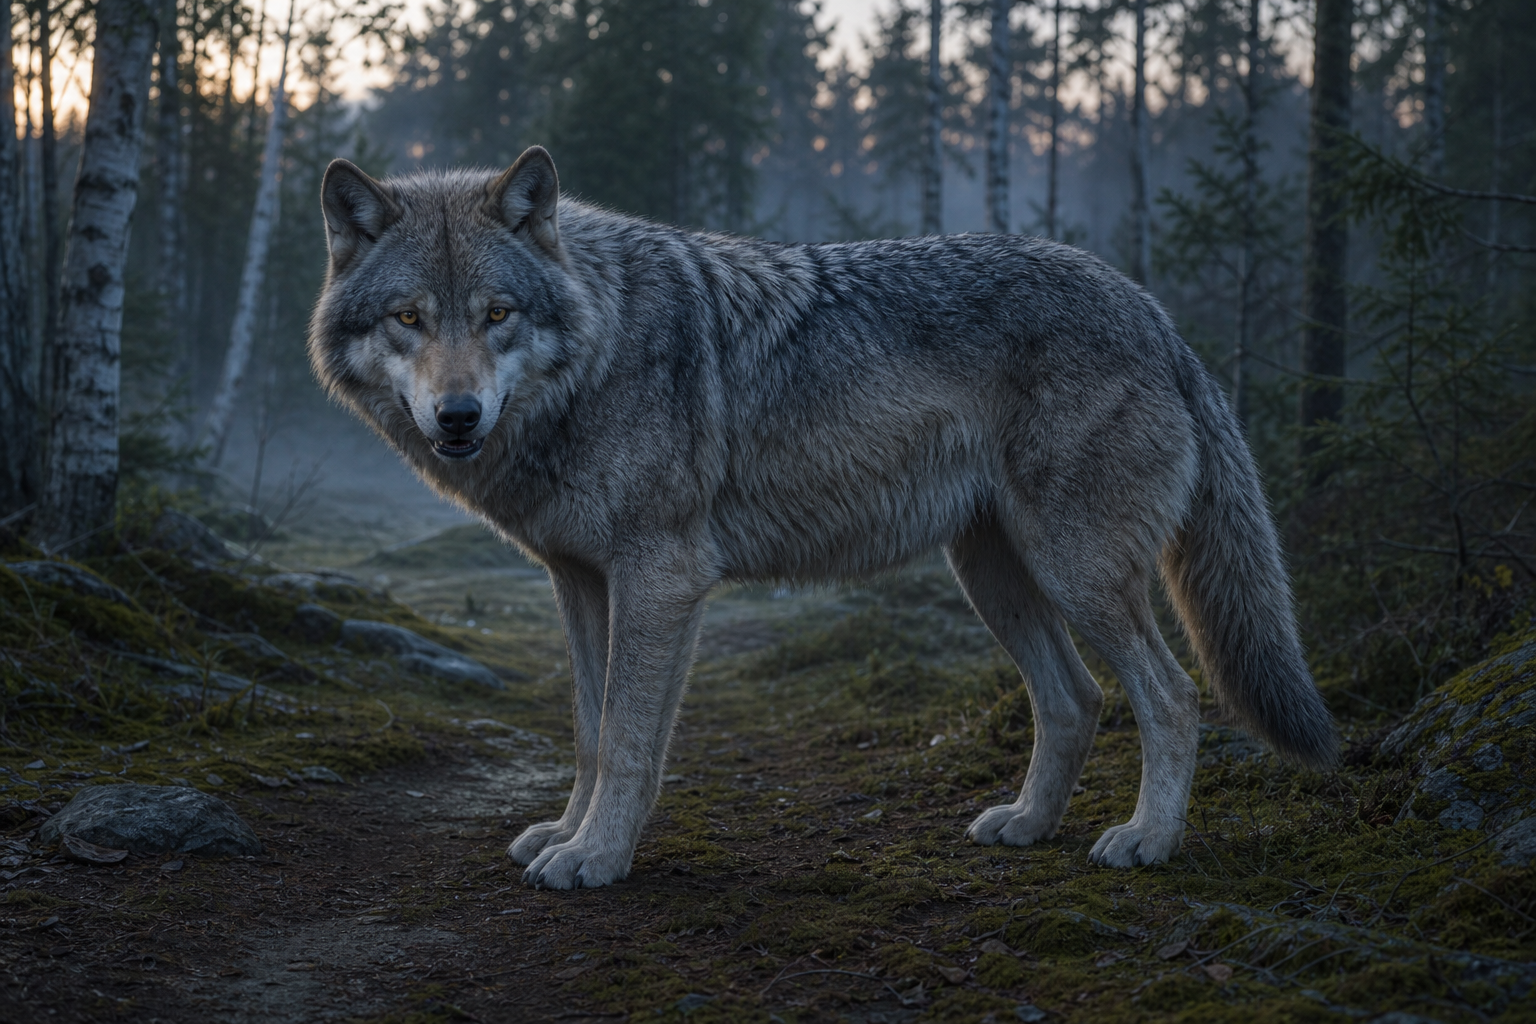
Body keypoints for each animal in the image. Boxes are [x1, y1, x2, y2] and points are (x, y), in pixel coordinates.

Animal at [309, 146, 1336, 890]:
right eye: (409, 318)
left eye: (497, 314)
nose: (457, 416)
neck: (600, 352)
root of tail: (1154, 313)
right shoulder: (579, 583)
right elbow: (591, 733)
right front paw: (567, 834)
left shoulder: (660, 581)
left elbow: (632, 739)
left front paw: (596, 858)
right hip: (993, 575)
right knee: (1076, 699)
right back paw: (1027, 826)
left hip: (1075, 569)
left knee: (1172, 695)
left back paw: (1148, 840)